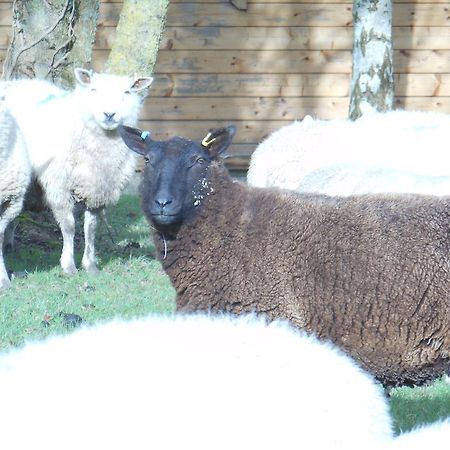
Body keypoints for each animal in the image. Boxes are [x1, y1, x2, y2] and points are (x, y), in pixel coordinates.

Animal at [2, 69, 153, 274]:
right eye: (94, 89)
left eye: (127, 92)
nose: (109, 114)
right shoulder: (60, 185)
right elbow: (69, 226)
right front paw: (69, 266)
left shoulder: (97, 190)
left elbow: (91, 228)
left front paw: (90, 265)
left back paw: (9, 245)